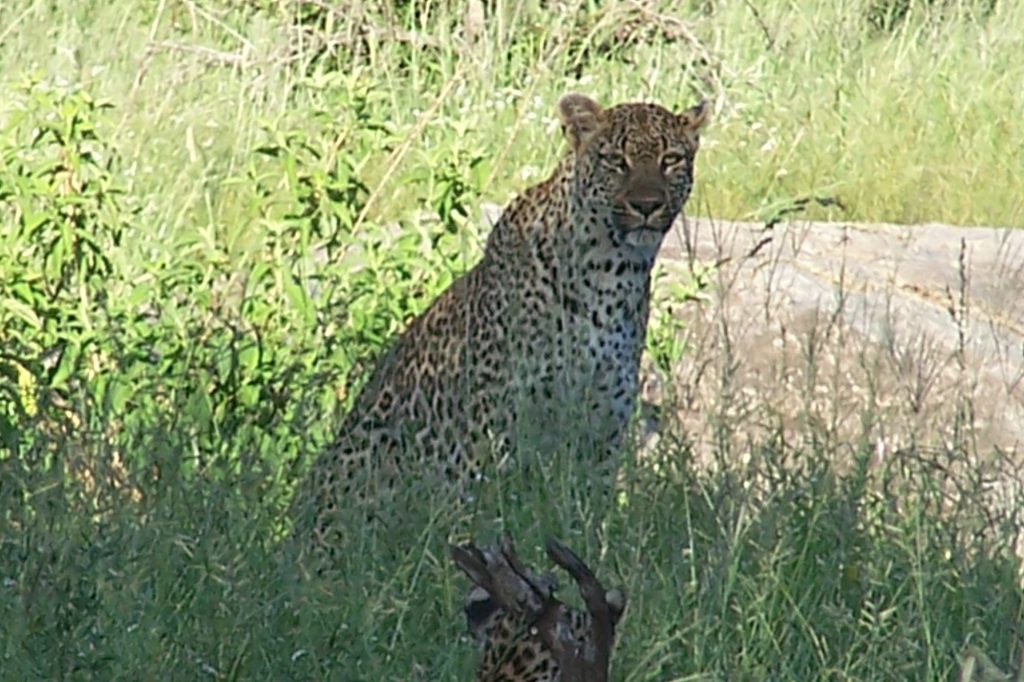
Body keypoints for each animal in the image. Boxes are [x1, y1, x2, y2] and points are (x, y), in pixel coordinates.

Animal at [299, 91, 704, 536]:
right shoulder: (490, 435)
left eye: (670, 159)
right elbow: (484, 520)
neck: (613, 272)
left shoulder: (600, 435)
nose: (647, 205)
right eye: (616, 159)